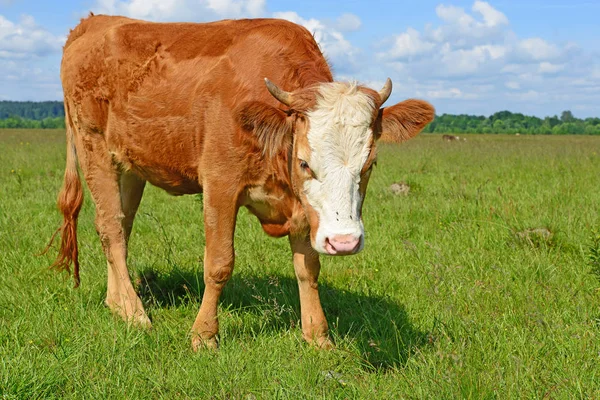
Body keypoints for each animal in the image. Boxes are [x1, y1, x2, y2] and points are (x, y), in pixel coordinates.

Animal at [51, 14, 434, 348]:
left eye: (369, 164)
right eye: (304, 163)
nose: (344, 242)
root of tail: (93, 22)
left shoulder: (302, 207)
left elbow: (309, 268)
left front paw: (317, 336)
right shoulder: (220, 184)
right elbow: (219, 263)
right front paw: (204, 335)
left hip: (130, 165)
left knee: (122, 225)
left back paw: (116, 302)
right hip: (93, 145)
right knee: (110, 228)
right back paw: (134, 313)